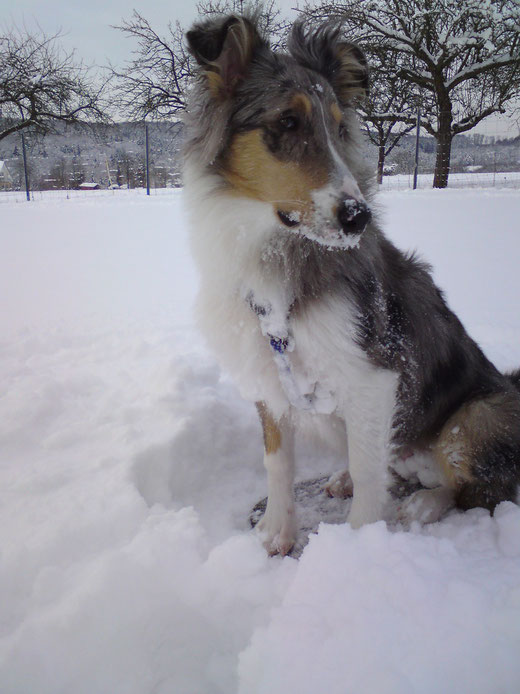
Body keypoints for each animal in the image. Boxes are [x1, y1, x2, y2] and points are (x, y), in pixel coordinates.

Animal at [184, 13, 520, 556]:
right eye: (288, 122)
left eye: (340, 127)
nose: (358, 217)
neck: (277, 254)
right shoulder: (268, 372)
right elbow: (278, 462)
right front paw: (275, 534)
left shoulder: (375, 377)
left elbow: (369, 481)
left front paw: (359, 553)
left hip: (476, 416)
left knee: (476, 491)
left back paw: (425, 503)